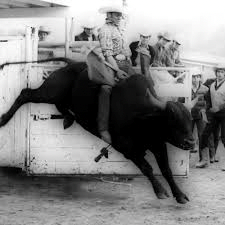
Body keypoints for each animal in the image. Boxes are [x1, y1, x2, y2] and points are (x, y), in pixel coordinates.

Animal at [0, 58, 194, 204]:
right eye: (172, 119)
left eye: (190, 120)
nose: (190, 143)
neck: (143, 117)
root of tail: (71, 64)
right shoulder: (126, 147)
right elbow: (147, 167)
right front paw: (160, 191)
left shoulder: (158, 144)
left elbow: (166, 169)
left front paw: (180, 195)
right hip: (51, 91)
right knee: (25, 94)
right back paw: (4, 119)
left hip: (60, 97)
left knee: (60, 105)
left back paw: (69, 119)